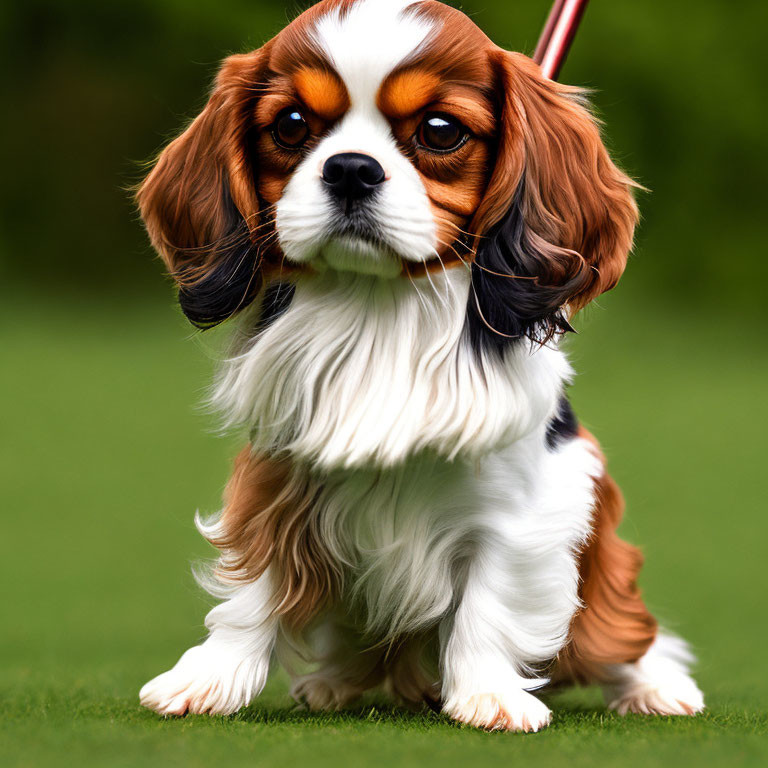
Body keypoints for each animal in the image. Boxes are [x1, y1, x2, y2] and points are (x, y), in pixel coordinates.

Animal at [136, 0, 704, 732]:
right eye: (290, 125)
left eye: (439, 131)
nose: (350, 168)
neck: (380, 307)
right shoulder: (277, 479)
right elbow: (253, 590)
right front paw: (209, 678)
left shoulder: (526, 509)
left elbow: (490, 603)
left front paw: (488, 695)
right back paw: (335, 682)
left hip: (601, 580)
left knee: (622, 636)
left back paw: (654, 687)